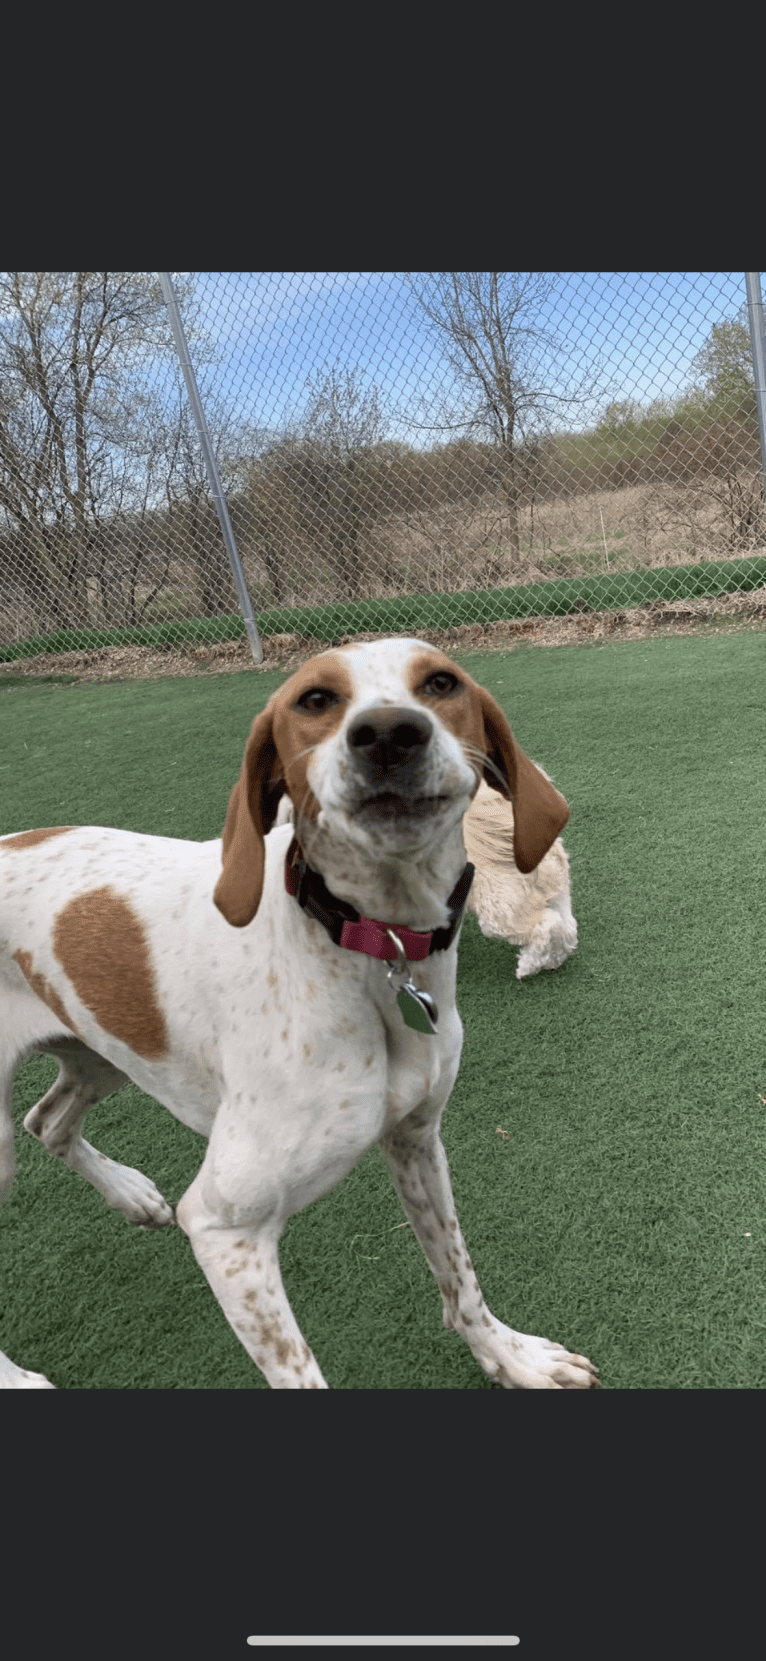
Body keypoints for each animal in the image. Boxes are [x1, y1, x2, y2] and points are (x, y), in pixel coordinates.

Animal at [0, 634, 598, 1388]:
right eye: (314, 699)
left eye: (440, 682)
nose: (389, 734)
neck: (367, 947)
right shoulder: (227, 1231)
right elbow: (300, 1371)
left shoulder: (417, 1138)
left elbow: (459, 1277)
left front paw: (511, 1359)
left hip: (101, 1047)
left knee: (47, 1119)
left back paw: (130, 1193)